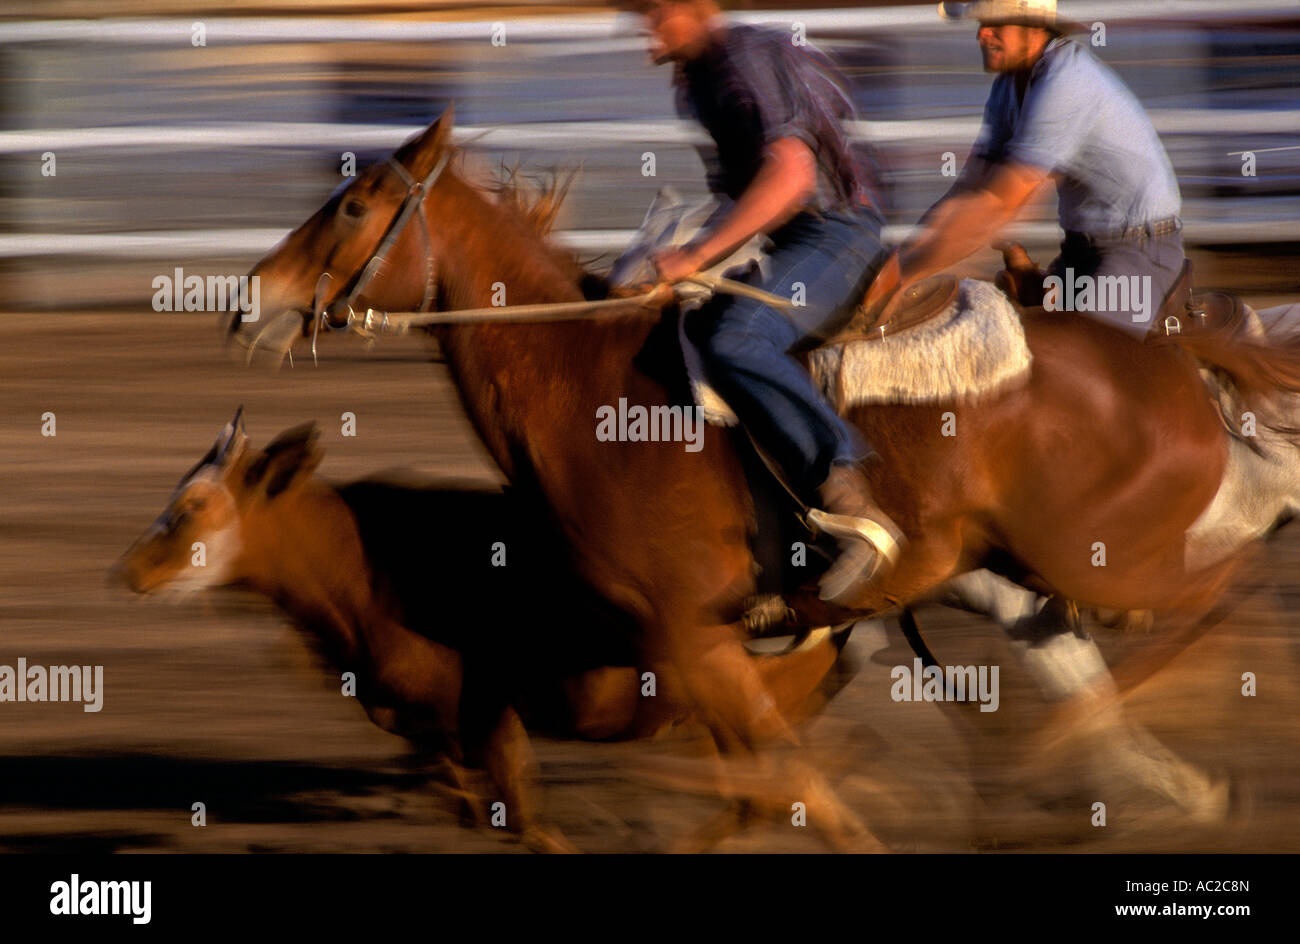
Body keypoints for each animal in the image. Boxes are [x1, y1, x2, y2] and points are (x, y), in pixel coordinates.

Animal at [109, 410, 842, 852]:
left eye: (193, 507)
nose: (127, 569)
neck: (368, 568)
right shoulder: (428, 727)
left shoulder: (487, 713)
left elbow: (526, 818)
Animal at [231, 109, 1289, 852]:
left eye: (353, 206)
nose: (247, 298)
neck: (590, 389)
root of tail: (1169, 357)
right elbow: (769, 780)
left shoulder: (694, 639)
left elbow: (784, 780)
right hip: (1047, 569)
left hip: (1103, 557)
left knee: (1234, 600)